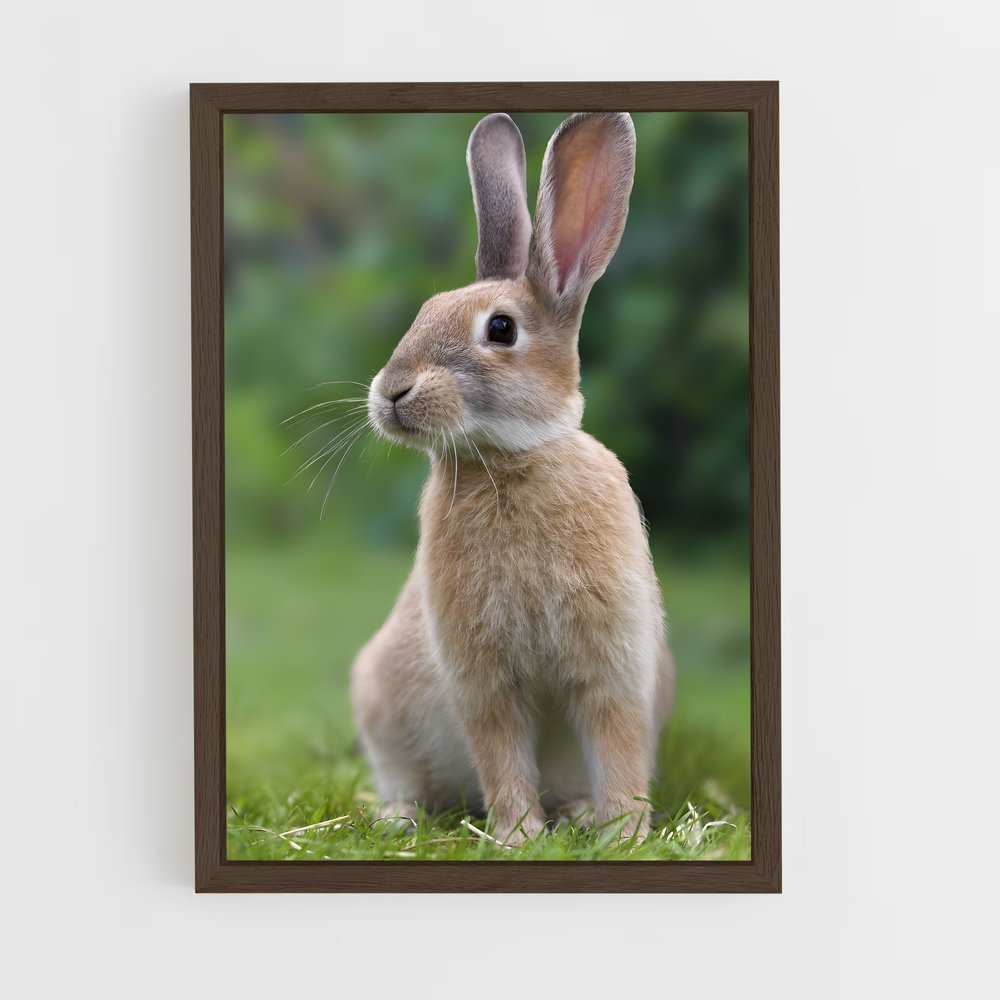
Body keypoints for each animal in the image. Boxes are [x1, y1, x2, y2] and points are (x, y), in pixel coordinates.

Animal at [351, 111, 675, 845]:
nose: (391, 392)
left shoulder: (613, 664)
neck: (507, 460)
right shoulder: (483, 677)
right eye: (423, 311)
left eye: (501, 329)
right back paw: (399, 818)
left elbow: (616, 743)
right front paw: (519, 836)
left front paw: (624, 832)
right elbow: (500, 752)